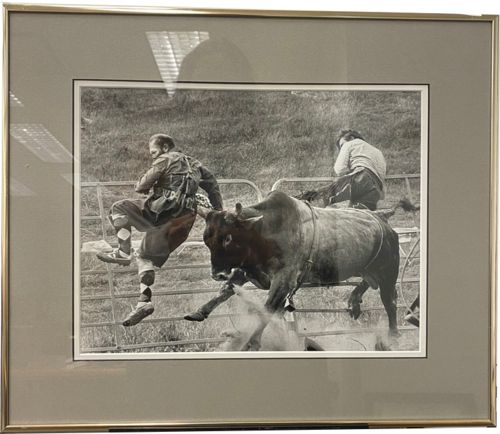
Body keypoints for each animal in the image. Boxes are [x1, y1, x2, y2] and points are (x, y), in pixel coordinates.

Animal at [188, 192, 402, 350]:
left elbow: (267, 309)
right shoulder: (246, 269)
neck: (265, 232)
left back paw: (392, 336)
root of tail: (383, 221)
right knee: (368, 283)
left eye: (228, 238)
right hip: (368, 270)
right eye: (207, 238)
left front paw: (251, 342)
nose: (217, 274)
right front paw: (199, 312)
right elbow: (225, 290)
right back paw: (354, 300)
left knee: (390, 303)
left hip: (388, 272)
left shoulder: (284, 280)